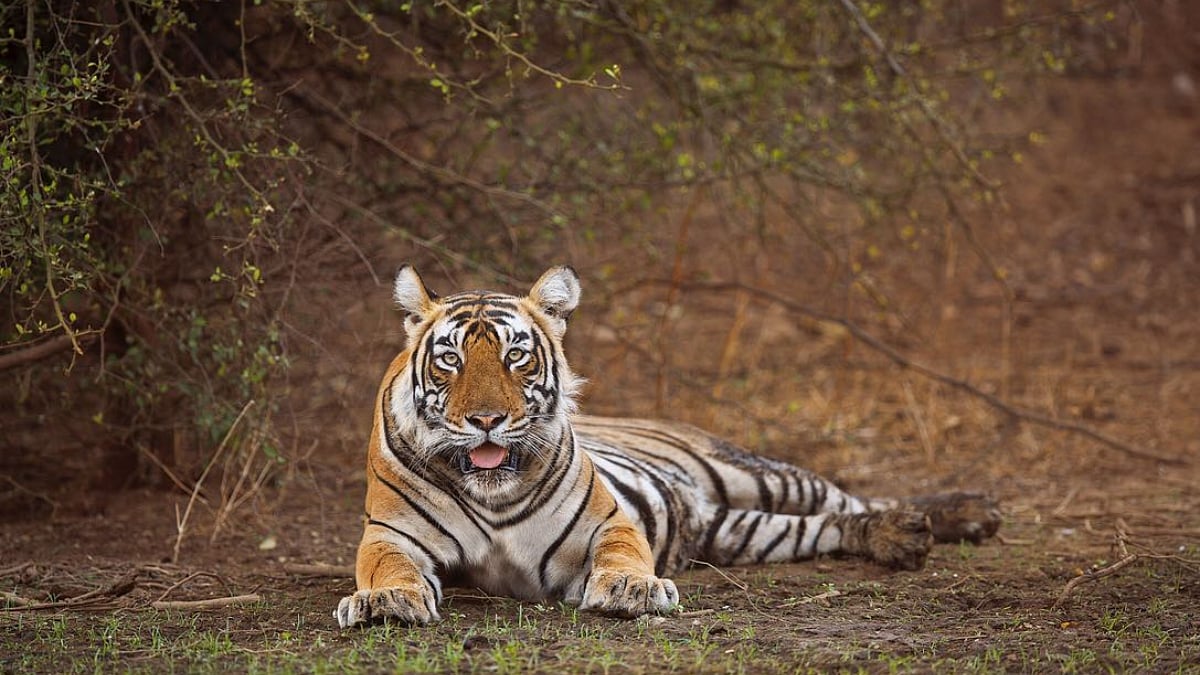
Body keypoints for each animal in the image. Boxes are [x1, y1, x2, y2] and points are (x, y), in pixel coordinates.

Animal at [334, 265, 1001, 627]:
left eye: (515, 355)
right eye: (450, 359)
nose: (486, 419)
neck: (492, 493)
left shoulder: (607, 521)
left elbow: (625, 554)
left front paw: (633, 589)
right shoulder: (391, 535)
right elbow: (387, 567)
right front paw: (385, 601)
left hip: (756, 475)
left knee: (851, 499)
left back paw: (959, 515)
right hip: (742, 531)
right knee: (832, 525)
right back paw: (904, 537)